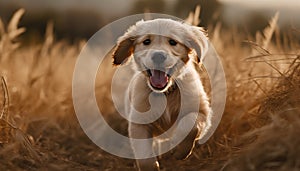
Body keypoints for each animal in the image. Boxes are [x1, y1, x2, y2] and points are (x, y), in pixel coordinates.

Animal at [112, 18, 211, 171]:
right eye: (146, 41)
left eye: (173, 42)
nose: (158, 56)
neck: (165, 93)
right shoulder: (138, 123)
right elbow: (144, 157)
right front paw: (152, 166)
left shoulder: (204, 113)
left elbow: (190, 123)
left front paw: (180, 149)